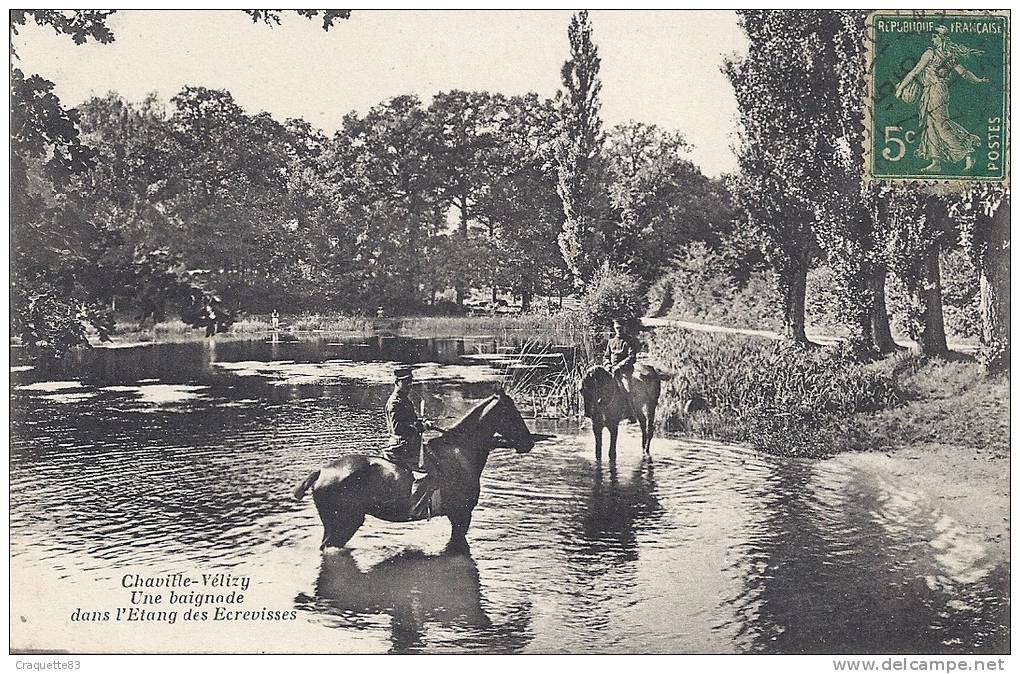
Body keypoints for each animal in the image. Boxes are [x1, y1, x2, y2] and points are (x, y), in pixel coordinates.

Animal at [293, 385, 534, 550]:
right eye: (510, 412)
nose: (529, 443)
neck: (461, 450)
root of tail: (322, 472)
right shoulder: (461, 515)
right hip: (344, 523)